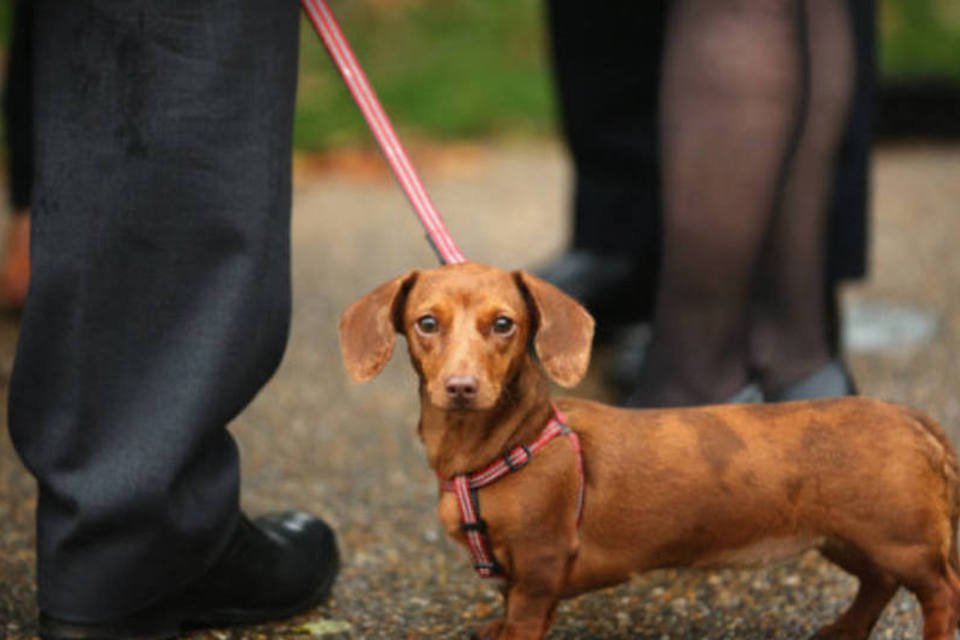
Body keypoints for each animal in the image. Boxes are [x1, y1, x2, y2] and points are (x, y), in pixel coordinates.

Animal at [338, 262, 960, 640]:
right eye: (426, 322)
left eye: (504, 324)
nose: (462, 387)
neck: (505, 444)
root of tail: (911, 416)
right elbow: (509, 607)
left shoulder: (540, 562)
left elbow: (525, 613)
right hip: (849, 538)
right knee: (878, 584)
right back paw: (844, 629)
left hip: (900, 539)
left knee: (940, 591)